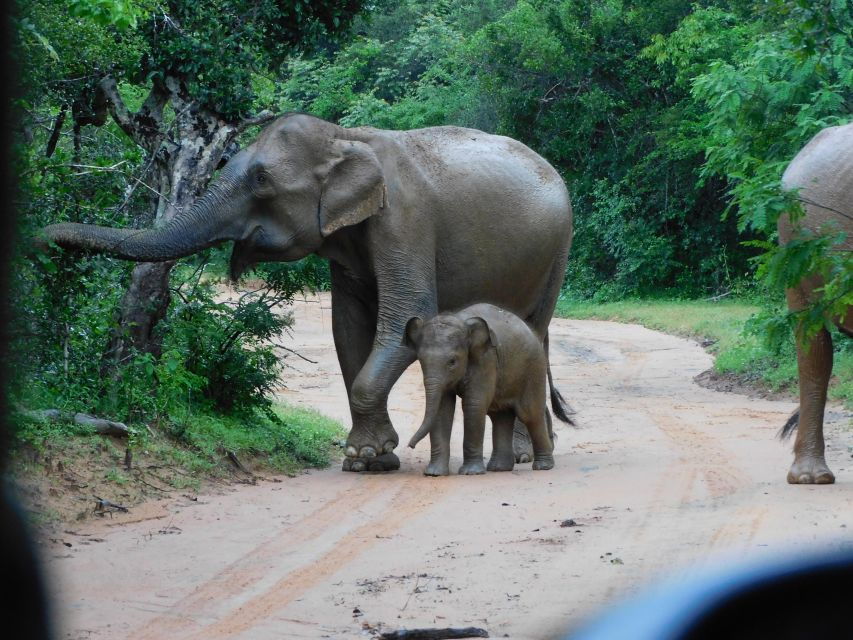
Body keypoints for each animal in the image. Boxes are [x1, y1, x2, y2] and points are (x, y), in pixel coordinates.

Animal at [404, 304, 556, 476]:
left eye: (452, 361)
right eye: (421, 360)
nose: (410, 445)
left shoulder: (485, 359)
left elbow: (473, 406)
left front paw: (470, 473)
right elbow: (442, 409)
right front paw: (434, 474)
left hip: (533, 368)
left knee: (530, 415)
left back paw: (543, 467)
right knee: (500, 416)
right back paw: (498, 468)